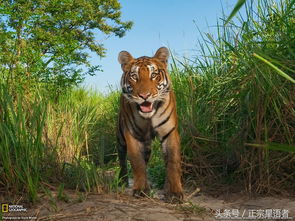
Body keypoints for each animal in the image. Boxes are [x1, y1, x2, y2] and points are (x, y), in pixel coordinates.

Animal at [117, 46, 183, 202]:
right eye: (134, 76)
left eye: (154, 75)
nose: (144, 96)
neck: (149, 117)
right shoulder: (132, 135)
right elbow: (137, 162)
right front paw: (141, 189)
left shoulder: (169, 133)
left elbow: (173, 162)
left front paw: (174, 192)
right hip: (121, 137)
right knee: (122, 159)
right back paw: (123, 181)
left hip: (146, 144)